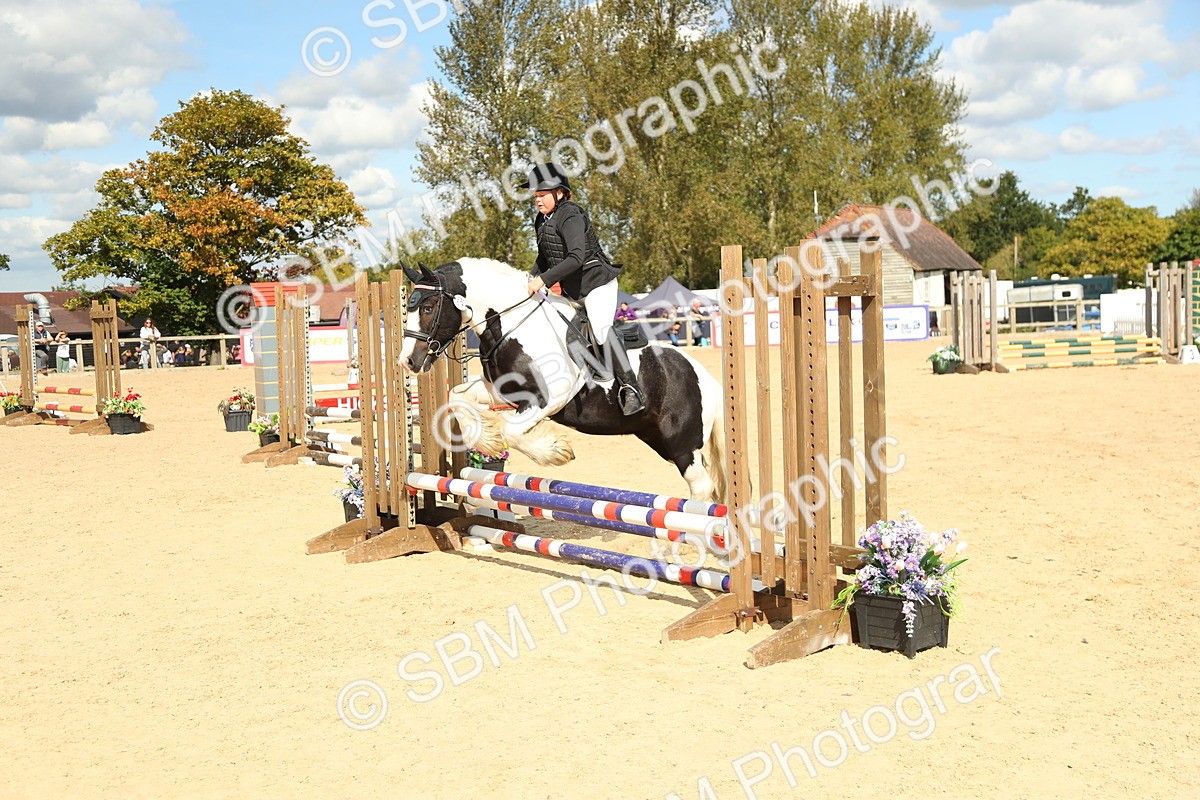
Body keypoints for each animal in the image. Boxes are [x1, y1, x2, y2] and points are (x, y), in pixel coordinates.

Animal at [397, 257, 727, 503]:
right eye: (408, 309)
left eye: (427, 308)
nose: (407, 361)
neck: (514, 325)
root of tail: (706, 379)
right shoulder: (502, 394)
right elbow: (457, 396)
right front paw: (487, 442)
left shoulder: (548, 399)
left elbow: (513, 432)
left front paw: (555, 451)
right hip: (658, 439)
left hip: (683, 444)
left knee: (701, 487)